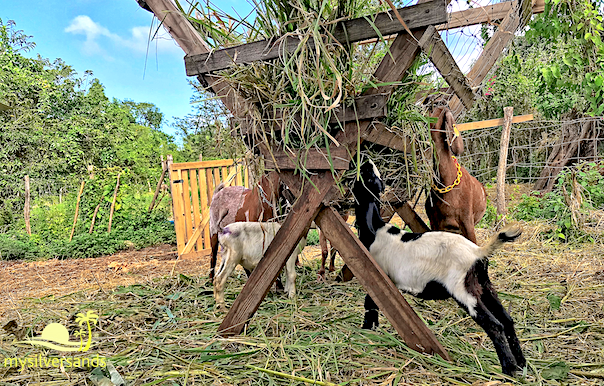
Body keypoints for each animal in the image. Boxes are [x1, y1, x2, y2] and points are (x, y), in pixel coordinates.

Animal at [354, 161, 524, 376]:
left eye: (368, 175)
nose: (366, 161)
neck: (375, 229)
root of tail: (477, 252)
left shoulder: (377, 274)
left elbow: (370, 302)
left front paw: (367, 329)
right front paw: (372, 328)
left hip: (463, 290)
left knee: (495, 325)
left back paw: (509, 369)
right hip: (484, 286)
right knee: (507, 320)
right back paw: (522, 364)